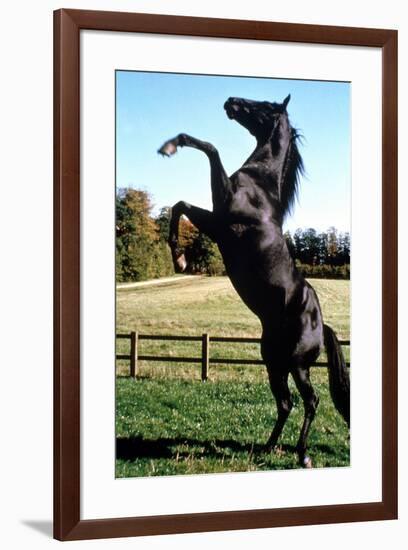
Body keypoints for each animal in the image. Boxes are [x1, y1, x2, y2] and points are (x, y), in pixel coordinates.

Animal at [158, 97, 350, 468]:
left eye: (266, 105)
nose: (231, 102)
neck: (260, 186)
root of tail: (322, 325)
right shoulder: (214, 219)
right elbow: (180, 203)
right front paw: (179, 258)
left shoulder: (220, 222)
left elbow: (210, 151)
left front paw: (170, 146)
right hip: (273, 361)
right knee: (285, 403)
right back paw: (265, 448)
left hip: (297, 365)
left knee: (311, 401)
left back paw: (303, 455)